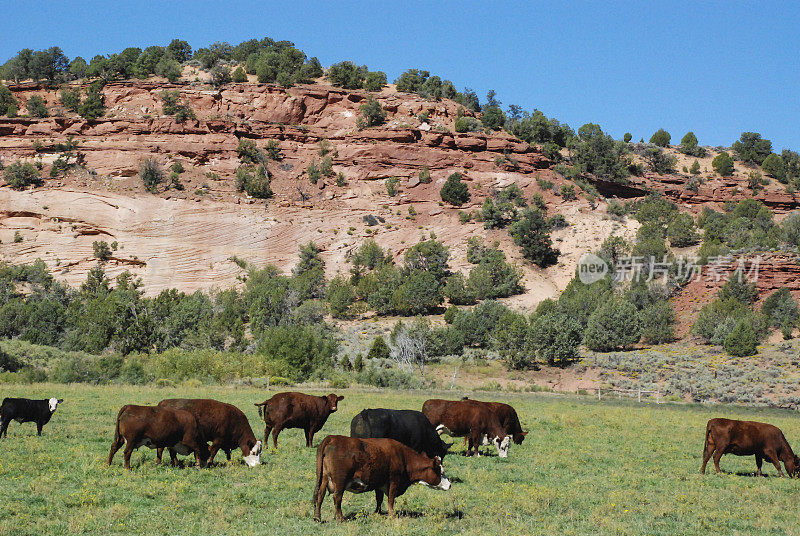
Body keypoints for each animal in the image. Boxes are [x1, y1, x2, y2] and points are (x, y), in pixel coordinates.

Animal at [312, 434, 450, 520]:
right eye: (441, 472)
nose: (449, 485)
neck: (403, 458)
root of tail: (332, 438)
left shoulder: (379, 483)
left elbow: (379, 499)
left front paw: (377, 512)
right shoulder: (394, 481)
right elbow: (391, 499)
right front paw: (391, 515)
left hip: (324, 479)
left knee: (320, 496)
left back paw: (317, 517)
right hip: (340, 482)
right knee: (337, 498)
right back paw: (341, 518)